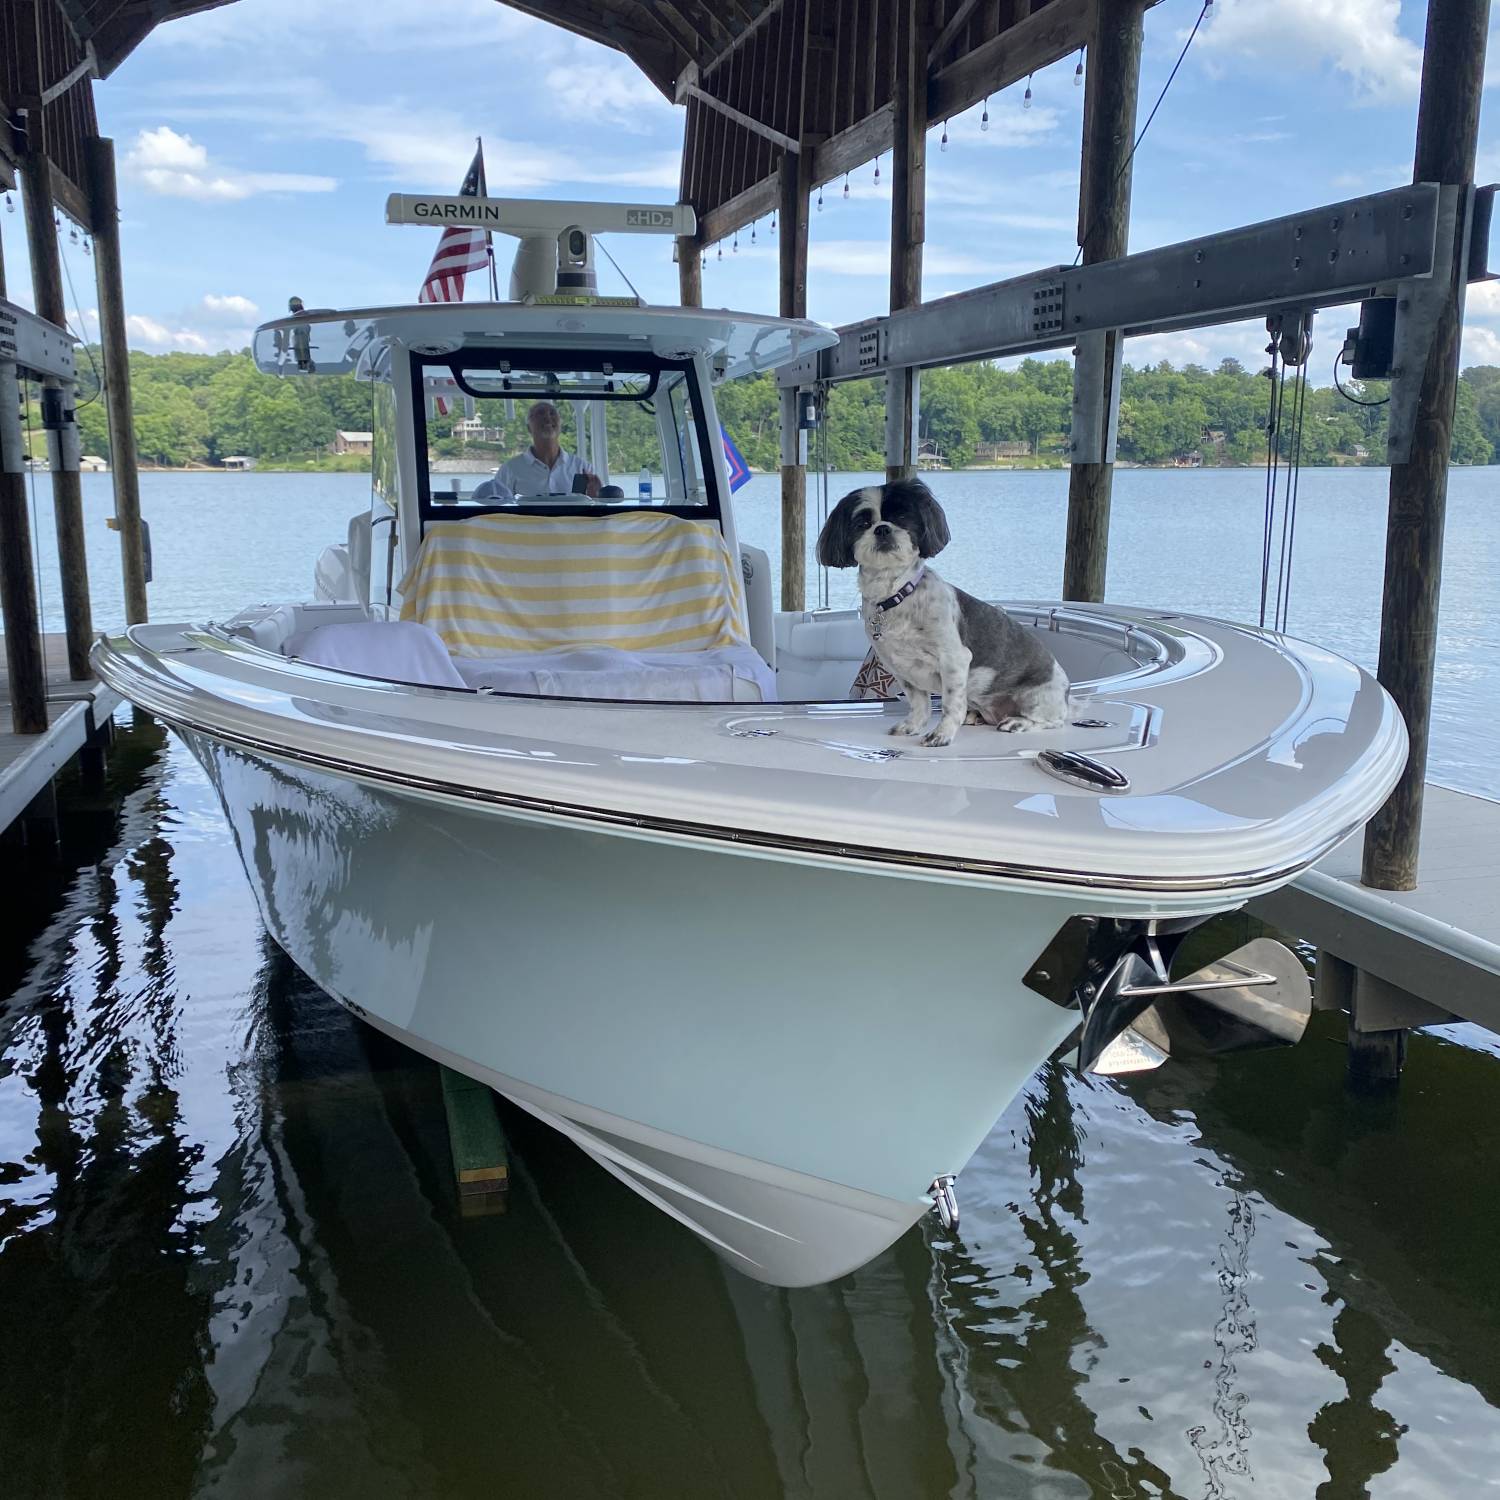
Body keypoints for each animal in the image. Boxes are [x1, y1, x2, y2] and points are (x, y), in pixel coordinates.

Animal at [816, 480, 1074, 750]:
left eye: (902, 517)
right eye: (862, 523)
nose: (883, 529)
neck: (896, 595)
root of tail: (1066, 693)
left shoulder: (954, 659)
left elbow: (951, 704)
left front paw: (942, 734)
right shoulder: (898, 666)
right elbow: (919, 703)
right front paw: (912, 726)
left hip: (1036, 697)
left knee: (1052, 721)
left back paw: (1018, 722)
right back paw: (976, 716)